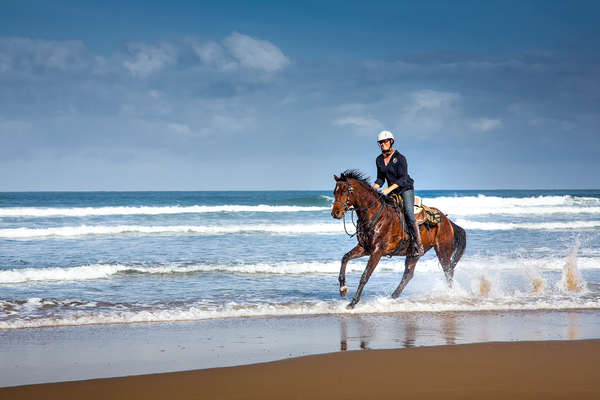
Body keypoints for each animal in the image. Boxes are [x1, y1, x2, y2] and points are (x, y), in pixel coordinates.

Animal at [330, 169, 466, 310]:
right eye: (334, 191)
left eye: (345, 191)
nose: (335, 213)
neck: (375, 214)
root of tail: (447, 220)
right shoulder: (365, 248)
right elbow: (345, 258)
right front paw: (343, 288)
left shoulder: (377, 252)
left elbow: (365, 275)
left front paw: (353, 303)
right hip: (413, 254)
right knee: (408, 274)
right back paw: (393, 297)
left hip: (443, 250)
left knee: (448, 272)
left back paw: (450, 295)